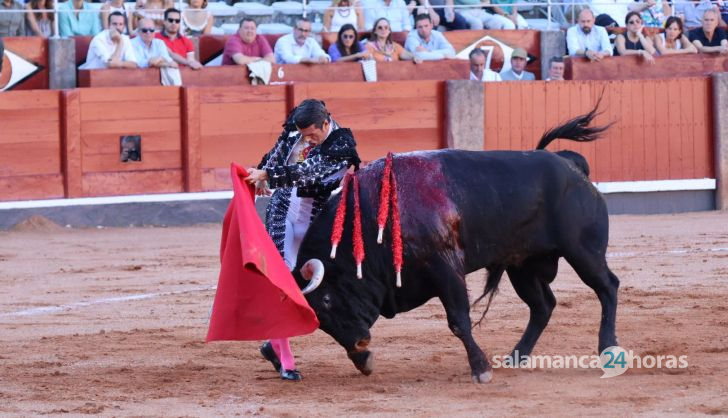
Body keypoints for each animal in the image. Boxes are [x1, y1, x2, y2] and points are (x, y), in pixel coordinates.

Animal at [292, 106, 620, 384]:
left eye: (326, 300)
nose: (359, 345)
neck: (374, 215)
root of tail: (570, 163)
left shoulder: (445, 267)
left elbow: (459, 321)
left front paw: (481, 369)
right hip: (521, 265)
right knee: (543, 305)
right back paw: (516, 356)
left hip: (583, 252)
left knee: (607, 287)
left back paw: (607, 349)